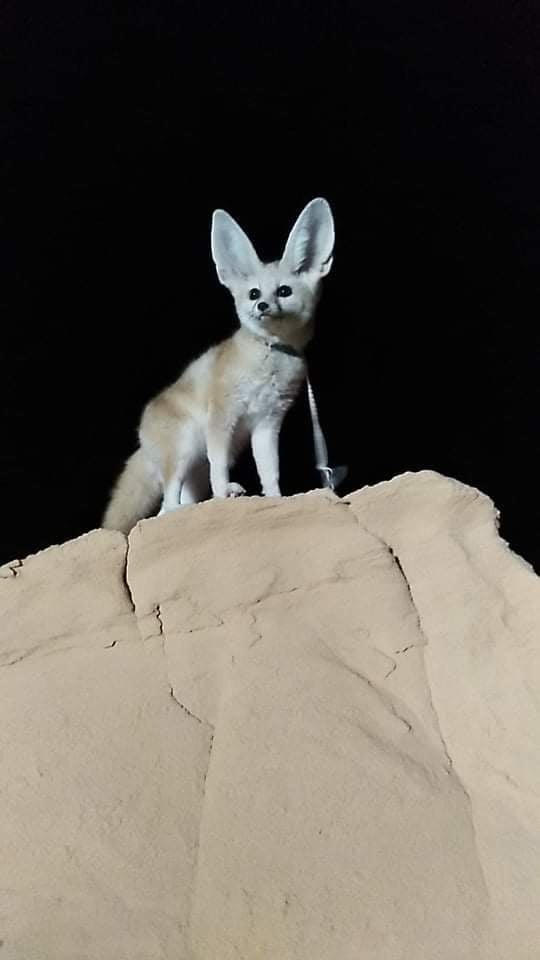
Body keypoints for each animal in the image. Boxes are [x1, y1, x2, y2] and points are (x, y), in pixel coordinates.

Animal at [102, 197, 335, 533]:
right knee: (165, 507)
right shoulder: (222, 417)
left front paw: (276, 498)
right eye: (253, 293)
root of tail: (143, 434)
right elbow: (220, 469)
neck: (267, 360)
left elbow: (270, 471)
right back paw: (190, 506)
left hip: (196, 466)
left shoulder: (267, 423)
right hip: (184, 450)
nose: (261, 306)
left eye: (284, 291)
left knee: (177, 503)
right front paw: (224, 494)